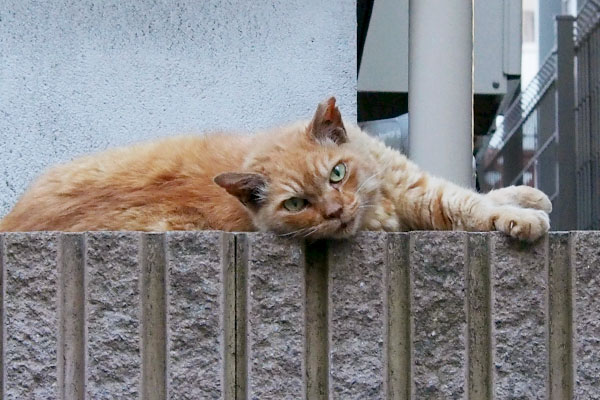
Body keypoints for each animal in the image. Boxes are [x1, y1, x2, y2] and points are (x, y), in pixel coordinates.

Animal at [0, 97, 552, 241]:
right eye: (296, 204)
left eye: (336, 174)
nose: (335, 211)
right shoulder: (422, 203)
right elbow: (467, 206)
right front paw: (522, 218)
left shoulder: (412, 182)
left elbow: (472, 195)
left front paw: (526, 196)